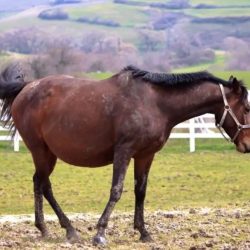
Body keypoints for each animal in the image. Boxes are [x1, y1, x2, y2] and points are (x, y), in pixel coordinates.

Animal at [0, 64, 250, 244]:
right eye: (247, 108)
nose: (247, 144)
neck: (155, 103)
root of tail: (27, 88)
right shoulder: (124, 152)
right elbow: (116, 190)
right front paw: (100, 233)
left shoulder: (145, 155)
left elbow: (141, 192)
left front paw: (143, 232)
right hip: (40, 150)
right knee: (44, 185)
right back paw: (65, 229)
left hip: (48, 153)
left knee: (39, 183)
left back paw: (51, 229)